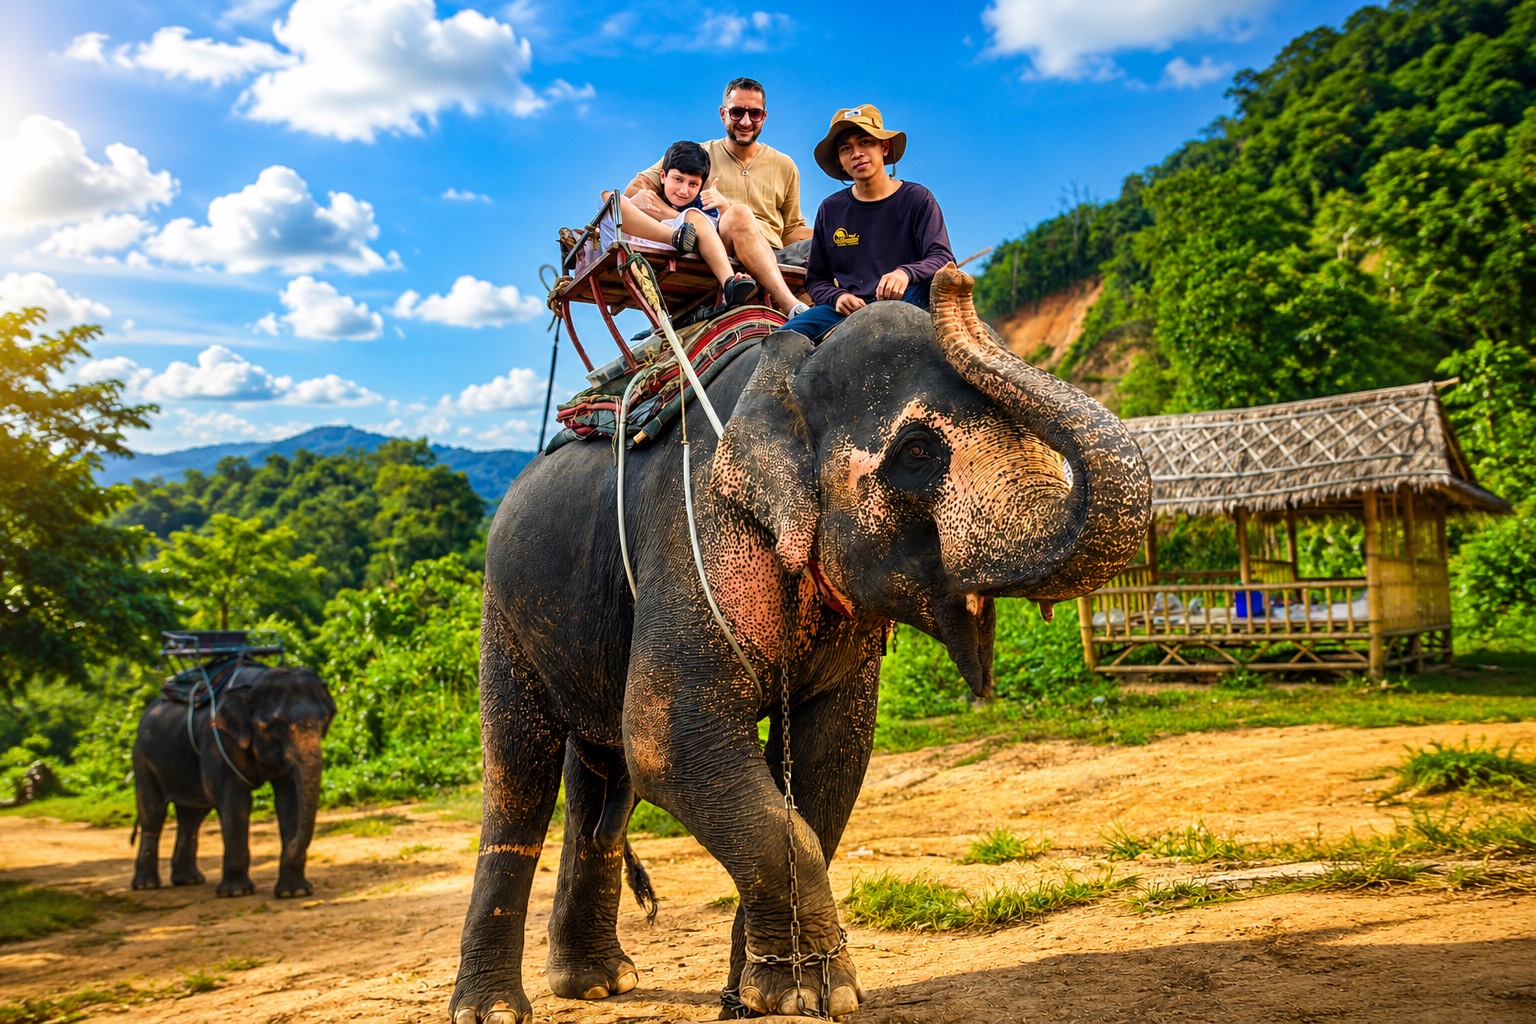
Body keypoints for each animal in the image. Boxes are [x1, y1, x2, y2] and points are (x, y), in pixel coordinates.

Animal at [131, 662, 336, 898]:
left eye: (325, 720)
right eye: (274, 726)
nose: (292, 845)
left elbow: (289, 801)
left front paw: (294, 893)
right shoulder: (217, 741)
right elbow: (234, 801)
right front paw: (237, 892)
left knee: (191, 816)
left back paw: (189, 880)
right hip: (142, 758)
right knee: (152, 812)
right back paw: (146, 885)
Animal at [450, 265, 1151, 1023]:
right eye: (917, 453)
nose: (954, 278)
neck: (791, 372)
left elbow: (829, 759)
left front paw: (763, 996)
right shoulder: (695, 534)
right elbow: (669, 743)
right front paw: (811, 993)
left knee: (602, 784)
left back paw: (599, 983)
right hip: (502, 610)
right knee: (520, 778)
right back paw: (494, 1009)